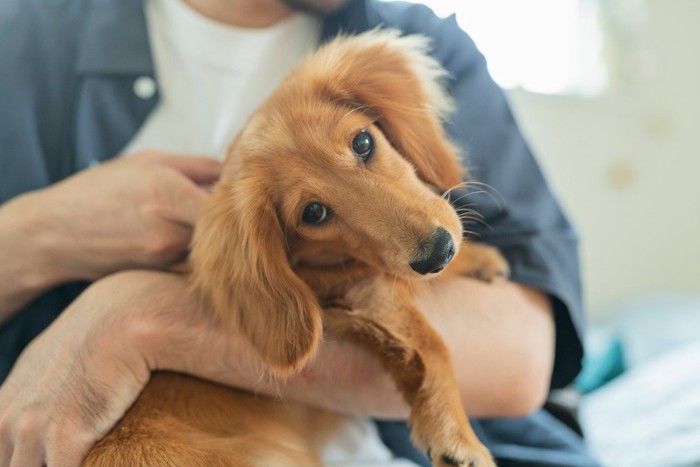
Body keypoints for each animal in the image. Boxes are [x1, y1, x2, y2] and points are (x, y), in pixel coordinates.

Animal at [83, 30, 508, 467]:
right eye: (314, 213)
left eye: (363, 141)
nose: (439, 253)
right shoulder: (361, 293)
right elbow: (429, 342)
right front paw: (455, 434)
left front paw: (479, 258)